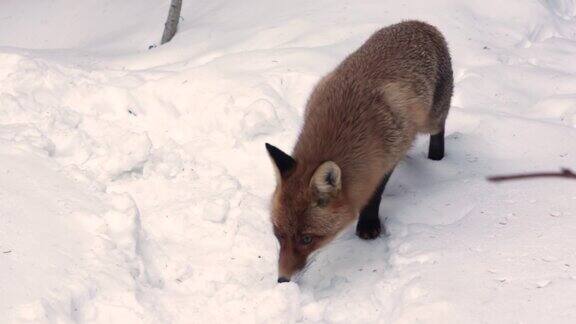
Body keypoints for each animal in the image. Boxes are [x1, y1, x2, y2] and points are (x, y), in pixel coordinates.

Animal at [266, 20, 454, 284]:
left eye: (307, 238)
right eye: (278, 234)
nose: (283, 280)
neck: (342, 124)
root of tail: (420, 23)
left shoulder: (387, 155)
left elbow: (374, 194)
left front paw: (368, 225)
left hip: (431, 120)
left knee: (440, 127)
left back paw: (437, 157)